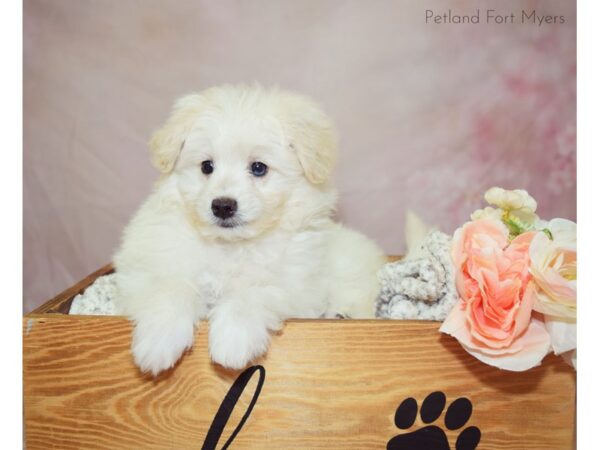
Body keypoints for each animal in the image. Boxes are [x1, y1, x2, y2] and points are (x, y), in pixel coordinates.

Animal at [113, 83, 384, 372]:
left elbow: (254, 292)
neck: (231, 245)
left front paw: (232, 340)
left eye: (258, 168)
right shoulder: (145, 270)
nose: (222, 206)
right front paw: (158, 341)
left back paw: (342, 314)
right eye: (206, 166)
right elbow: (170, 288)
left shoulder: (297, 286)